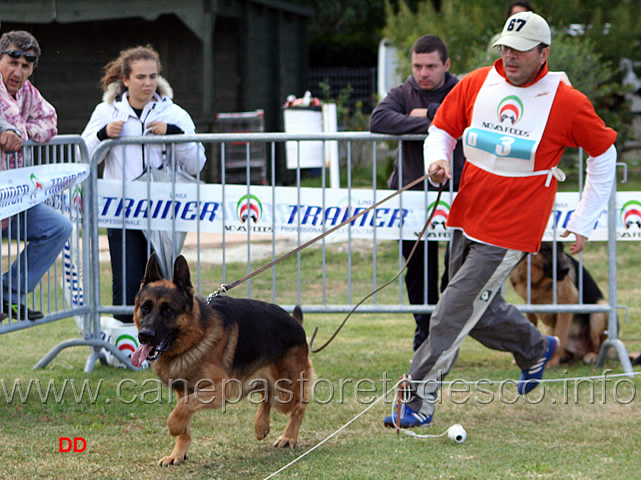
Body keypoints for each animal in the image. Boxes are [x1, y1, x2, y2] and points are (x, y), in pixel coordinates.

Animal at [130, 253, 312, 466]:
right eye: (145, 307)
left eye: (168, 310)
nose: (145, 336)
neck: (196, 336)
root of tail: (296, 323)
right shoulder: (184, 391)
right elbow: (183, 413)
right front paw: (178, 453)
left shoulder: (221, 388)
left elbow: (183, 408)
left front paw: (174, 426)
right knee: (266, 392)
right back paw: (261, 424)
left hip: (284, 392)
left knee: (299, 405)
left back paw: (289, 437)